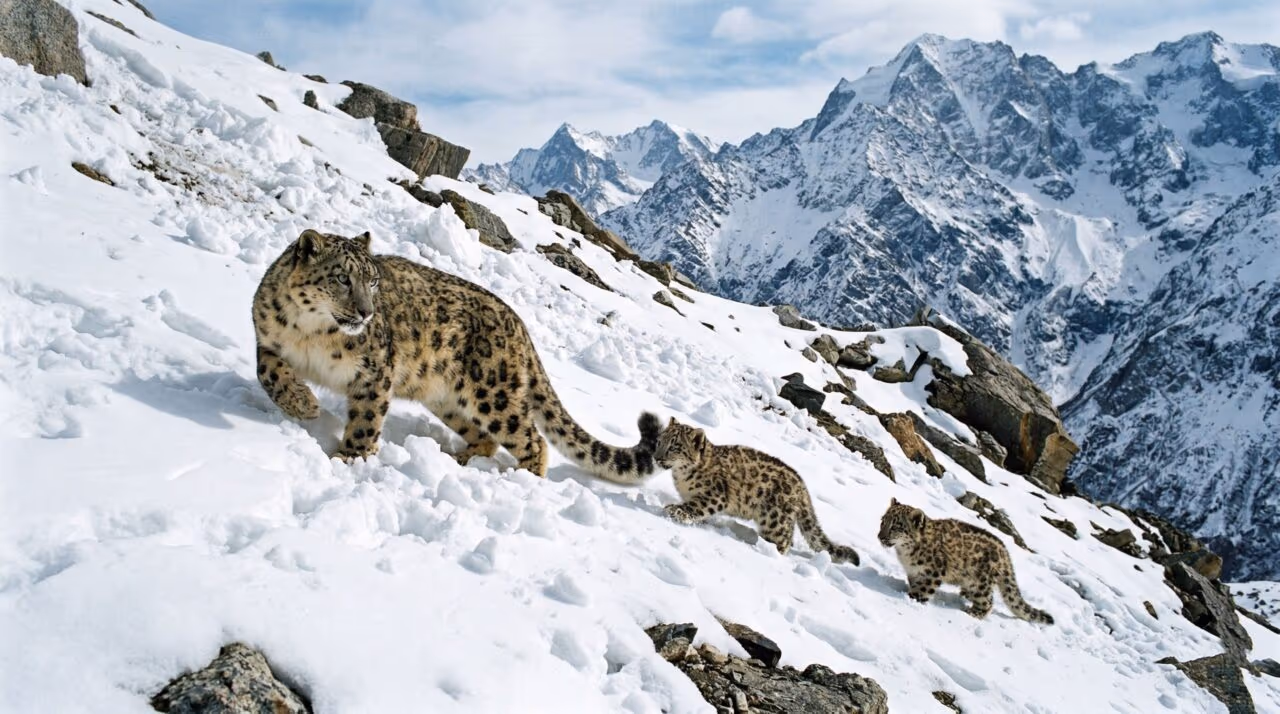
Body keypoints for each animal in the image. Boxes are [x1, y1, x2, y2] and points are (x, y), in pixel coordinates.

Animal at [252, 228, 661, 480]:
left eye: (373, 280)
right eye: (341, 278)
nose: (366, 312)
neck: (311, 334)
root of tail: (519, 324)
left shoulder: (375, 374)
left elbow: (366, 420)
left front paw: (349, 458)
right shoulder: (266, 339)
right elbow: (268, 372)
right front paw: (303, 403)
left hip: (493, 393)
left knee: (532, 437)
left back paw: (521, 477)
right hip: (447, 399)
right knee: (487, 436)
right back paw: (462, 458)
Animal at [653, 418, 859, 565]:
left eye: (674, 446)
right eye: (660, 441)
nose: (656, 457)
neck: (680, 477)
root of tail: (802, 486)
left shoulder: (715, 495)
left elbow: (695, 506)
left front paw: (675, 511)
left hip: (774, 521)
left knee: (784, 542)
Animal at [878, 499, 1054, 624]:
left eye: (896, 526)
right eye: (883, 520)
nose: (880, 536)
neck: (905, 555)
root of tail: (1005, 554)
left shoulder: (932, 574)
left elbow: (922, 590)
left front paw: (911, 598)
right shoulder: (914, 572)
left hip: (980, 583)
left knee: (988, 601)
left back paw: (971, 613)